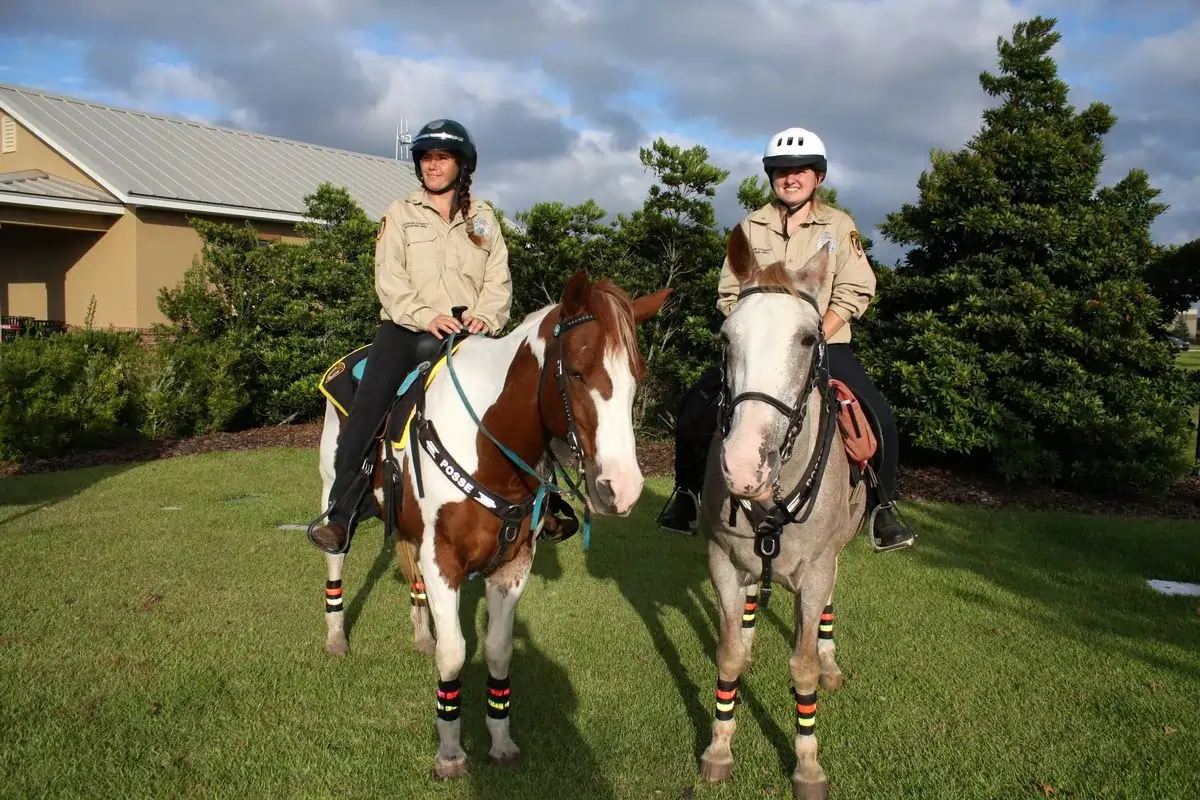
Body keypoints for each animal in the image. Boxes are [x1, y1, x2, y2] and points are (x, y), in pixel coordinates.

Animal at [313, 270, 671, 779]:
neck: (486, 444)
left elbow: (498, 652)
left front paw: (501, 740)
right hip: (332, 490)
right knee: (334, 557)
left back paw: (420, 633)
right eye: (576, 372)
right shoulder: (443, 559)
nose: (621, 488)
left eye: (635, 378)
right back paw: (337, 637)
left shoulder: (513, 565)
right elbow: (454, 654)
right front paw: (449, 751)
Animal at [696, 225, 871, 800]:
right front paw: (719, 748)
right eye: (726, 338)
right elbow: (728, 653)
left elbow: (804, 668)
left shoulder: (817, 570)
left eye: (809, 339)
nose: (743, 464)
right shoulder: (722, 559)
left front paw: (807, 765)